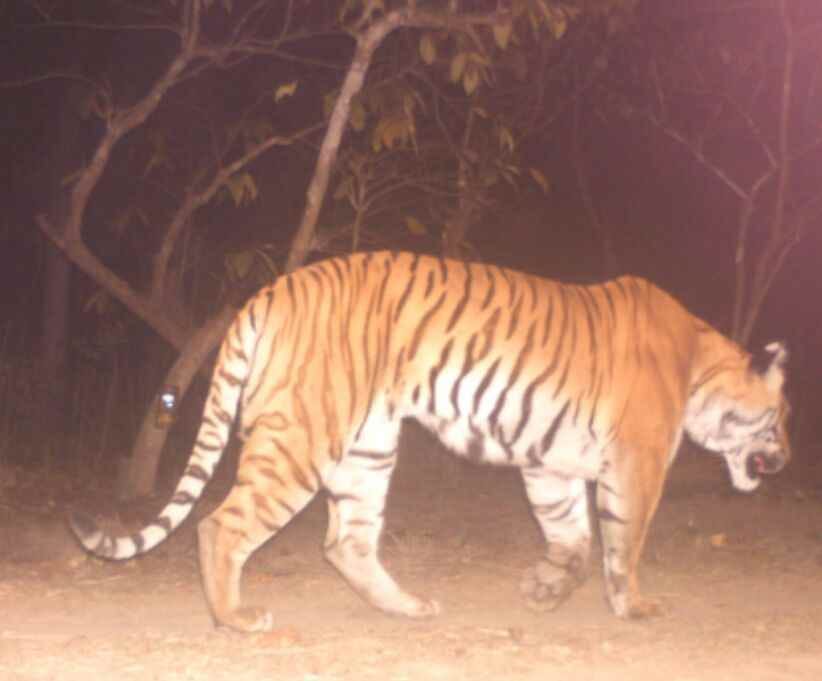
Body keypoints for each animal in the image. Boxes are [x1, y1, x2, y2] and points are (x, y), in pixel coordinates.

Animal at [71, 250, 791, 632]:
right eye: (783, 415)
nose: (786, 459)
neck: (702, 364)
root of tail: (273, 287)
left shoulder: (550, 463)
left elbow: (573, 539)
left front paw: (544, 589)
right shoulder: (636, 463)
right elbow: (623, 543)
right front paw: (633, 605)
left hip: (367, 448)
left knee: (345, 542)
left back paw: (409, 607)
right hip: (303, 437)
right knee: (220, 524)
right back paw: (236, 618)